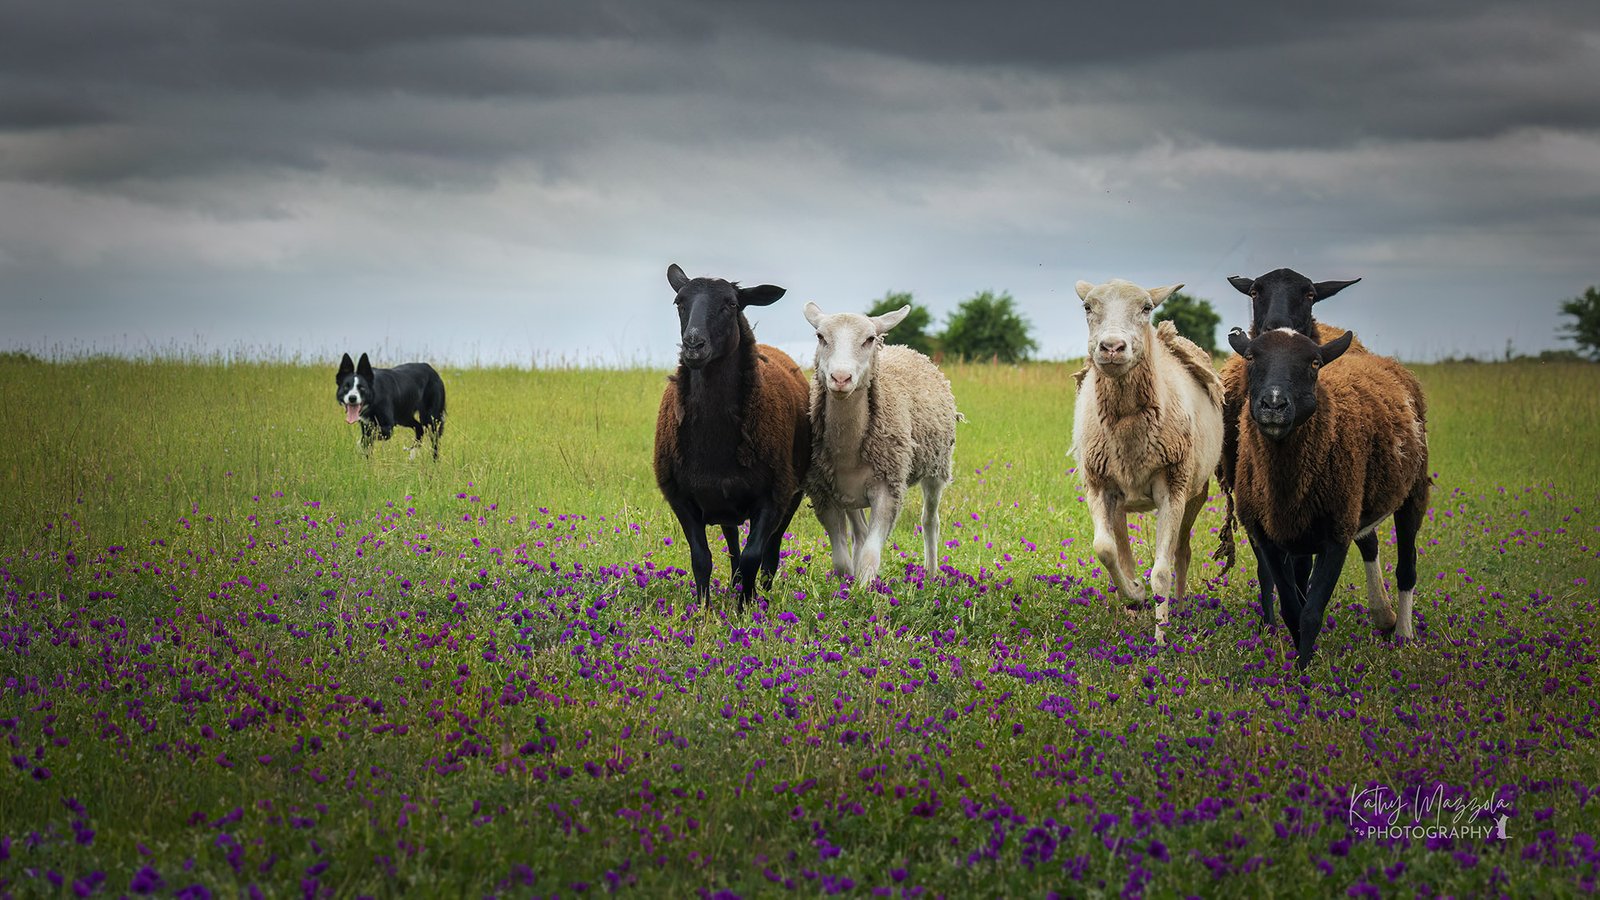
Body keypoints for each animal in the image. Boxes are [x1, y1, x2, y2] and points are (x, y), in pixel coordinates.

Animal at [654, 263, 812, 615]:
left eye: (731, 304)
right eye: (679, 302)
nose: (693, 345)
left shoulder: (772, 496)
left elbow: (755, 555)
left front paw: (745, 608)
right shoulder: (681, 498)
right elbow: (702, 559)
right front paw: (704, 610)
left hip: (792, 493)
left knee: (770, 551)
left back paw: (761, 592)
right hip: (724, 502)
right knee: (732, 544)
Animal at [802, 302, 960, 593]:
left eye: (869, 339)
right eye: (820, 337)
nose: (840, 378)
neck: (848, 445)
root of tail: (907, 349)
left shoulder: (888, 489)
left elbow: (869, 555)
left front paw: (864, 593)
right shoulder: (824, 493)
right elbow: (841, 560)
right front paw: (848, 587)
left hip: (937, 466)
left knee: (930, 521)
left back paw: (932, 574)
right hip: (849, 494)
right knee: (859, 532)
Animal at [1070, 279, 1225, 643]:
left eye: (1146, 308)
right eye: (1087, 307)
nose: (1112, 347)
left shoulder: (1173, 487)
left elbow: (1162, 571)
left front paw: (1161, 639)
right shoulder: (1097, 484)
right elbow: (1104, 549)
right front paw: (1135, 593)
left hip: (1195, 491)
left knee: (1182, 552)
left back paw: (1178, 609)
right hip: (1119, 495)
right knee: (1121, 547)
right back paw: (1132, 601)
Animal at [1215, 268, 1402, 632]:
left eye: (1311, 294)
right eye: (1255, 291)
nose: (1276, 326)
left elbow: (1304, 564)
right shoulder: (1253, 504)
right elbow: (1268, 568)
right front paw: (1269, 627)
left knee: (1366, 541)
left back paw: (1383, 613)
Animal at [1227, 327, 1429, 669]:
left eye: (1314, 363)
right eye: (1251, 357)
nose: (1273, 404)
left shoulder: (1336, 537)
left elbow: (1311, 614)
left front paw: (1304, 672)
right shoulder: (1268, 537)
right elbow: (1291, 610)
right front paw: (1298, 661)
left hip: (1412, 491)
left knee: (1407, 566)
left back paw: (1403, 634)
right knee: (1370, 544)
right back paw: (1383, 615)